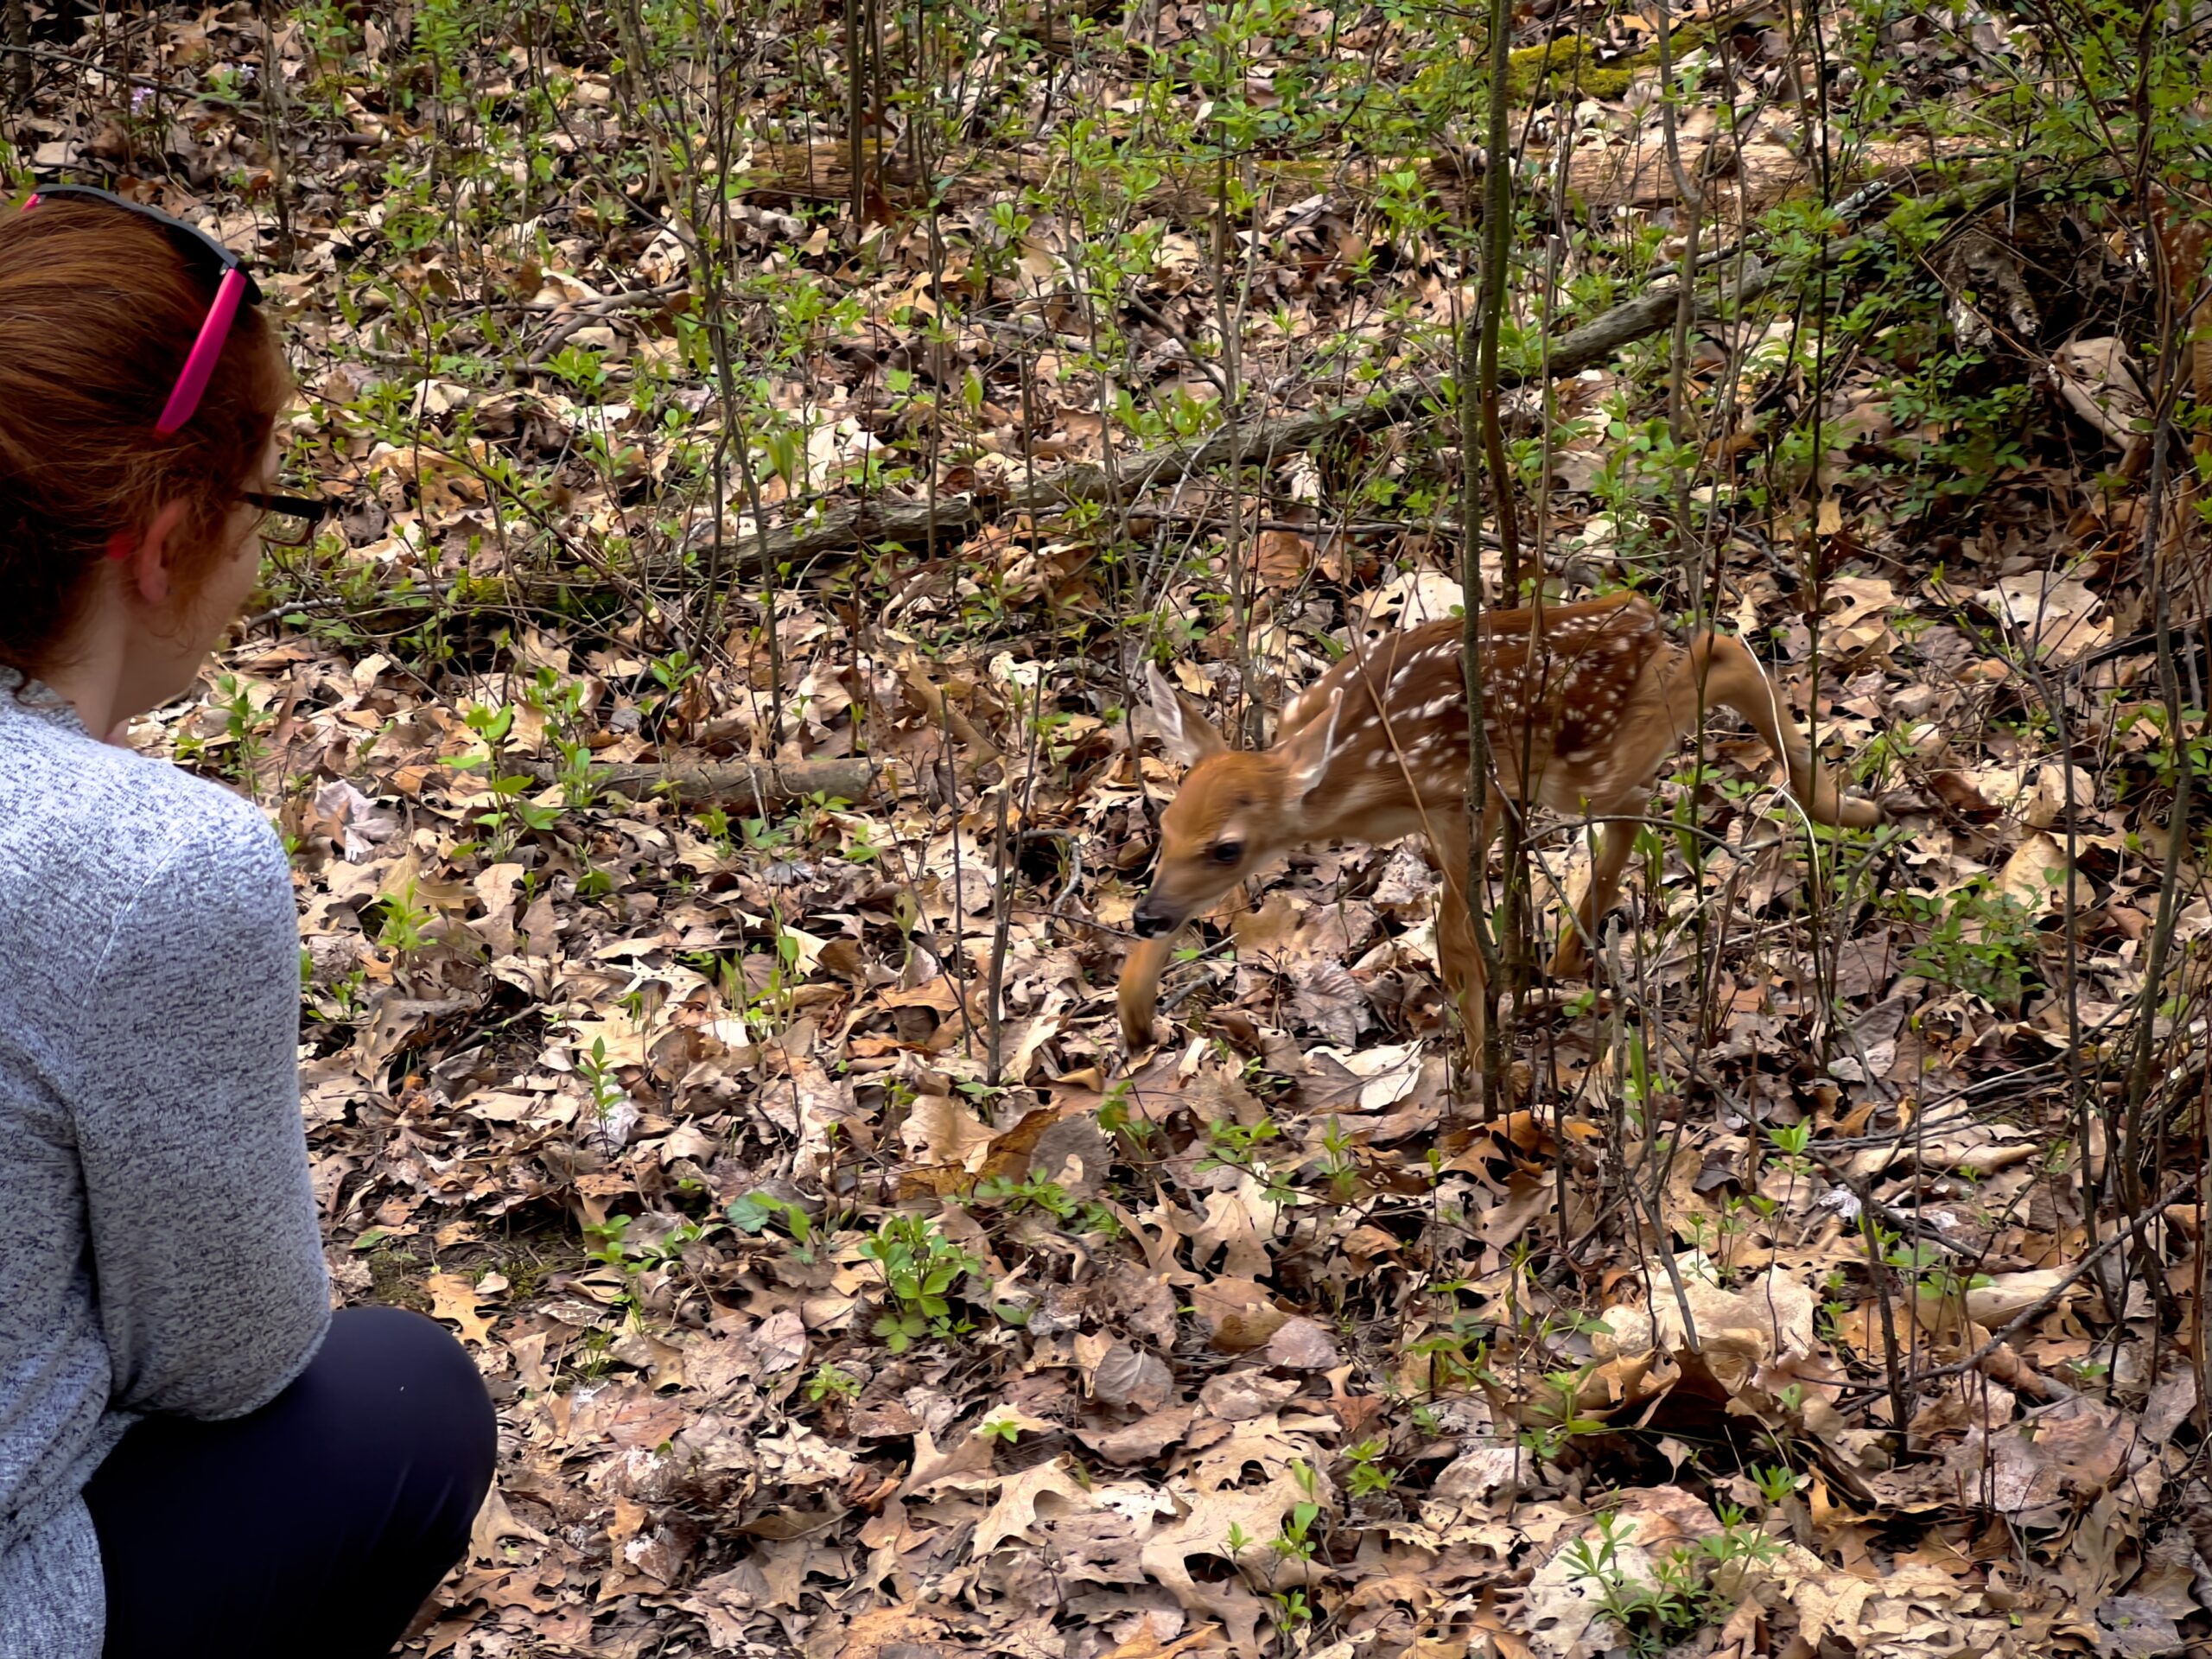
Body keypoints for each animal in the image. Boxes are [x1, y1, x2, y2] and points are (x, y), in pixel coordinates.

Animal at [1118, 592, 1882, 1052]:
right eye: (1165, 828)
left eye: (1228, 849)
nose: (1145, 916)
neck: (1357, 775)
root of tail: (1635, 613)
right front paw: (1134, 1013)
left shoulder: (1460, 799)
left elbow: (1456, 944)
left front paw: (1484, 1073)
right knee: (1637, 798)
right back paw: (1569, 955)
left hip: (1583, 760)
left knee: (1716, 658)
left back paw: (1847, 806)